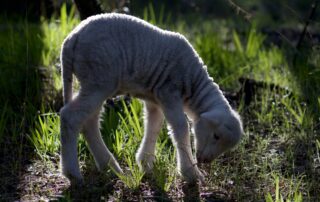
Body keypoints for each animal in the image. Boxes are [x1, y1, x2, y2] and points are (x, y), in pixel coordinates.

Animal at [59, 13, 242, 185]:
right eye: (216, 136)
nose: (204, 161)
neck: (193, 84)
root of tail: (71, 40)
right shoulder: (169, 92)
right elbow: (181, 128)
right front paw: (191, 173)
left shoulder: (155, 98)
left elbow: (154, 125)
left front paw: (145, 163)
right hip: (98, 78)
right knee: (70, 117)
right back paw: (73, 173)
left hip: (95, 82)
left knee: (89, 122)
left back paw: (110, 167)